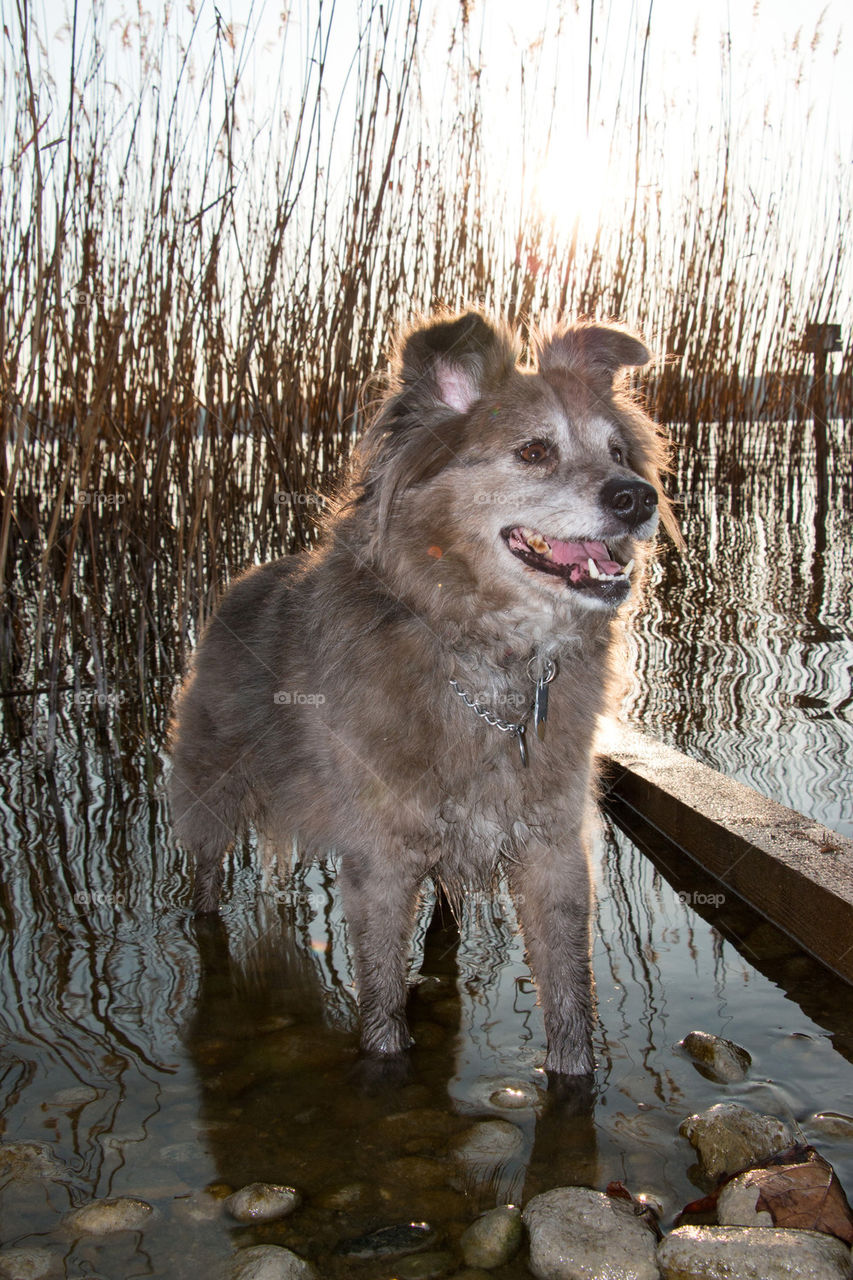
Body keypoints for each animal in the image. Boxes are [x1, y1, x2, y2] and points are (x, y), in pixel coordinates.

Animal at [169, 314, 676, 1075]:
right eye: (533, 451)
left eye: (618, 451)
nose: (635, 497)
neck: (489, 668)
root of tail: (242, 582)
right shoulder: (379, 863)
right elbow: (382, 1003)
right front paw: (384, 1062)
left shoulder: (555, 852)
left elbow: (568, 1001)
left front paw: (575, 1080)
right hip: (212, 792)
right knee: (204, 878)